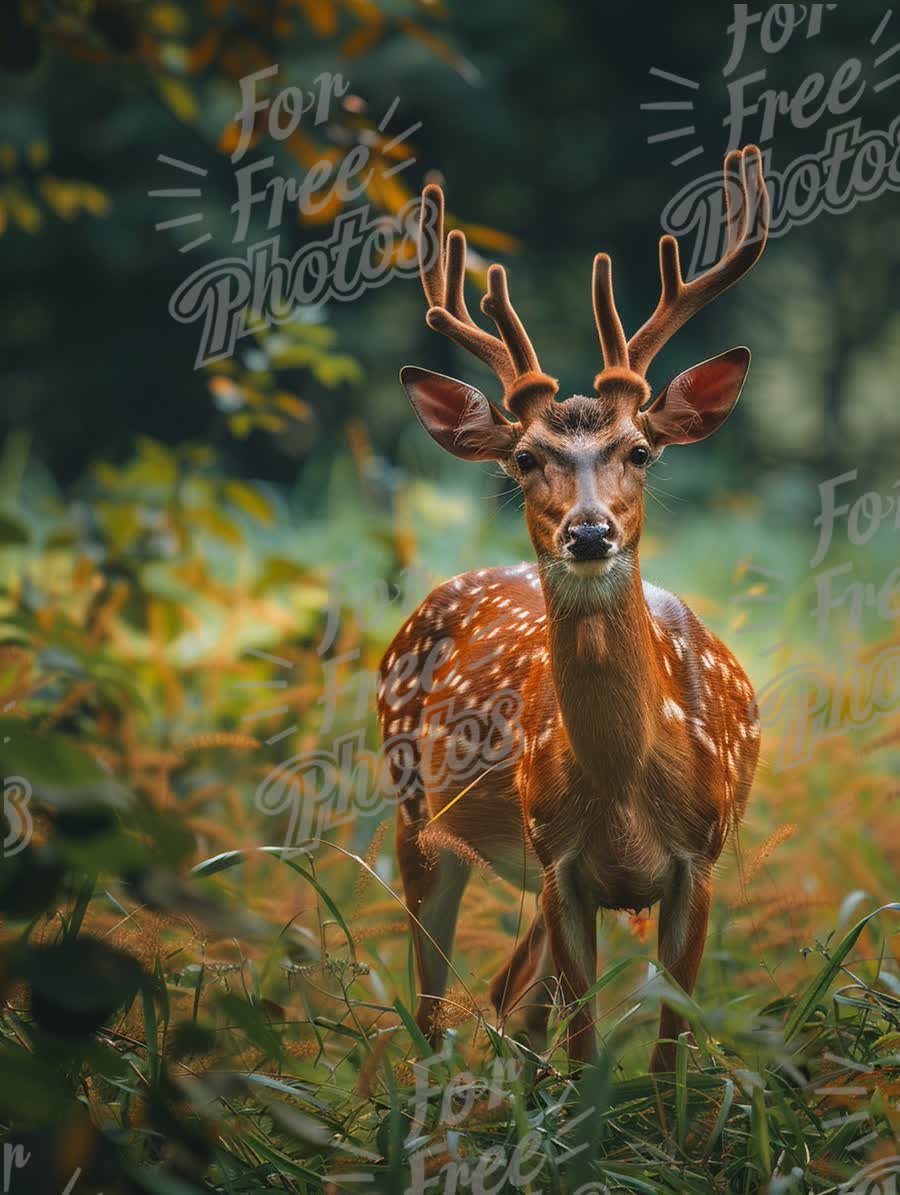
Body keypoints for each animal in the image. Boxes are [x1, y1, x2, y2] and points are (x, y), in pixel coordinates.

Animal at [375, 142, 769, 1075]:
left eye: (640, 449)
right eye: (524, 457)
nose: (589, 532)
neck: (625, 789)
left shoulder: (699, 860)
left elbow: (666, 1052)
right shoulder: (560, 862)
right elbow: (588, 1046)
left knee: (508, 996)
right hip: (415, 812)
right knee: (433, 1006)